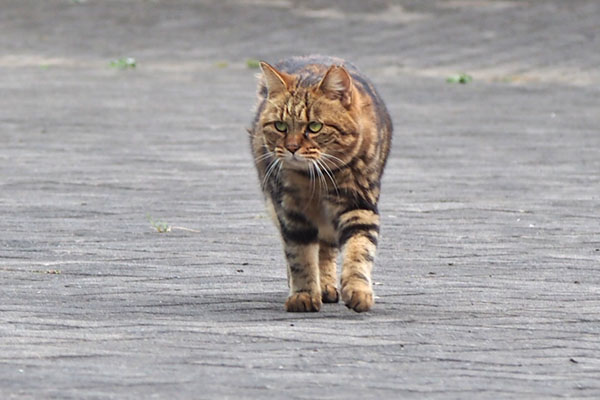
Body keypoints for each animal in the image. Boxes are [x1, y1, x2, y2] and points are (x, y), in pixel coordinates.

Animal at [247, 55, 392, 312]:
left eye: (314, 127)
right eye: (280, 126)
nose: (292, 148)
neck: (315, 180)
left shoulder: (359, 206)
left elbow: (359, 250)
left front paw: (358, 291)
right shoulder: (291, 212)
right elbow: (300, 257)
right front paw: (303, 294)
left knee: (326, 248)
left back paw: (326, 285)